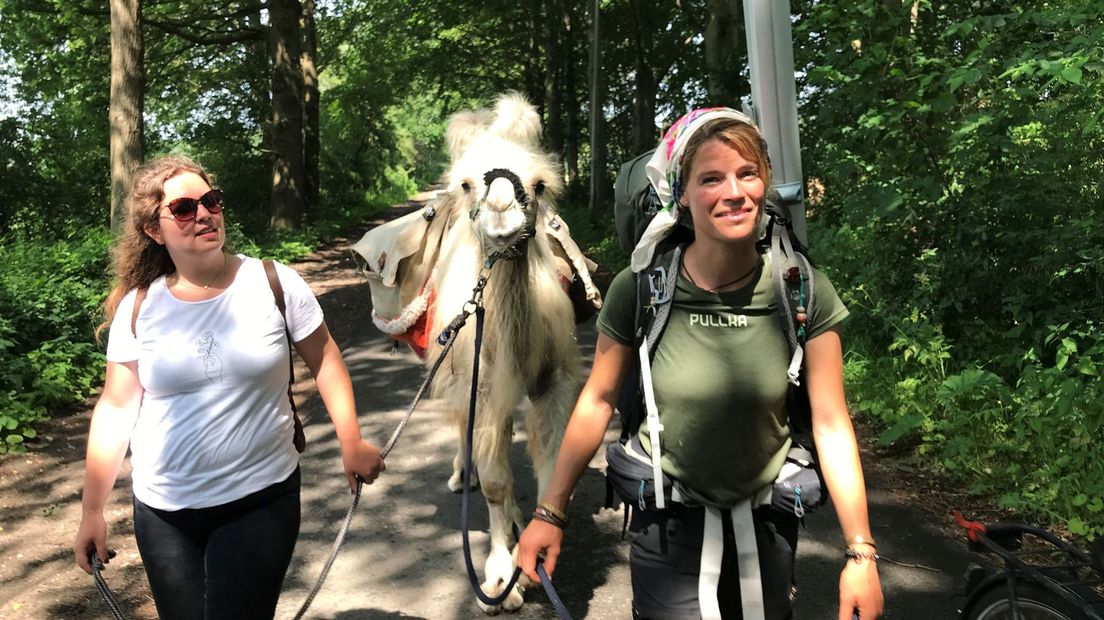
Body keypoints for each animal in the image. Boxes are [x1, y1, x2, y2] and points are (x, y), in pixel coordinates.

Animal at [351, 91, 600, 608]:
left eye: (539, 185)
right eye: (466, 184)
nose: (502, 209)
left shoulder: (555, 377)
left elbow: (551, 460)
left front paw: (535, 555)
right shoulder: (480, 383)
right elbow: (495, 480)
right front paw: (502, 576)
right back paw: (461, 476)